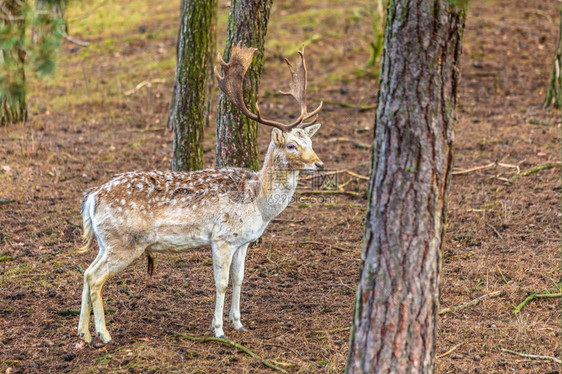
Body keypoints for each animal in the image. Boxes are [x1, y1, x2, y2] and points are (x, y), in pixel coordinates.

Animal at [79, 42, 324, 344]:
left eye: (310, 141)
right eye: (291, 145)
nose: (319, 163)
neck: (258, 203)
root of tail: (93, 197)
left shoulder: (243, 241)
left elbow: (239, 279)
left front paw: (239, 323)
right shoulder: (222, 237)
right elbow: (221, 283)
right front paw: (218, 329)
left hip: (107, 240)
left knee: (86, 272)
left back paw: (83, 333)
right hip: (126, 241)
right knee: (95, 277)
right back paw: (104, 334)